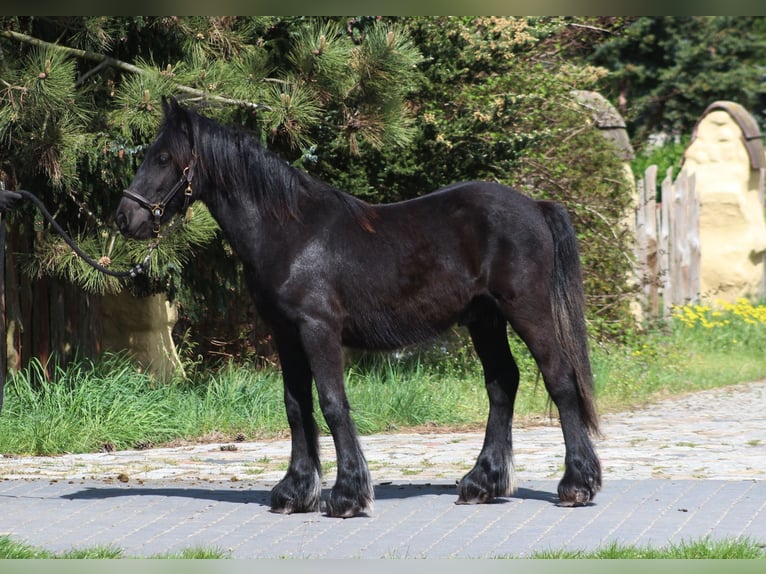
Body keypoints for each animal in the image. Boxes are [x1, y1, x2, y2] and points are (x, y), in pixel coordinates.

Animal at [117, 97, 604, 520]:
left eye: (163, 157)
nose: (124, 217)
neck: (290, 233)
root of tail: (535, 206)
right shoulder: (286, 334)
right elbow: (296, 406)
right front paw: (295, 492)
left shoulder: (318, 329)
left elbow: (333, 403)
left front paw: (348, 495)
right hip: (485, 319)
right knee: (502, 383)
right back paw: (480, 483)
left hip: (527, 311)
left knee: (560, 380)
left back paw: (576, 485)